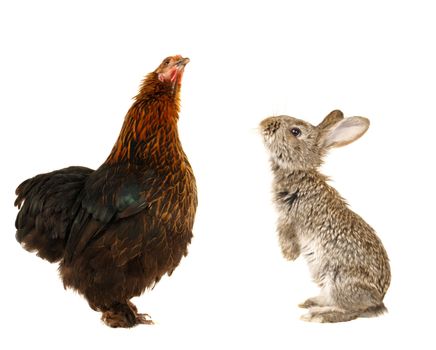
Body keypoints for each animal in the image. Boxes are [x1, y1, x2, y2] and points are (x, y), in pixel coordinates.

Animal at [258, 109, 392, 322]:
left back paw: (318, 315)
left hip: (338, 280)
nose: (264, 123)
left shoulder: (292, 218)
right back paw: (312, 302)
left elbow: (285, 233)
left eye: (295, 131)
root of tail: (378, 299)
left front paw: (289, 255)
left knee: (351, 311)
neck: (299, 172)